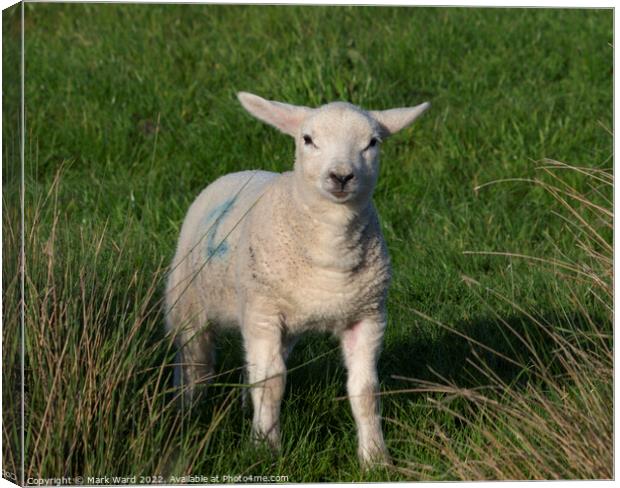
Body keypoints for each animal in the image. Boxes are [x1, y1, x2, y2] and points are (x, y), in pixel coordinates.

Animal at [162, 91, 428, 466]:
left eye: (372, 143)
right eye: (308, 139)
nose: (341, 176)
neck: (330, 253)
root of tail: (241, 171)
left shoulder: (368, 316)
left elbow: (365, 390)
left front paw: (376, 458)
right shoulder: (264, 312)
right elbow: (271, 383)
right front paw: (265, 449)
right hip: (188, 301)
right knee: (194, 363)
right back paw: (188, 412)